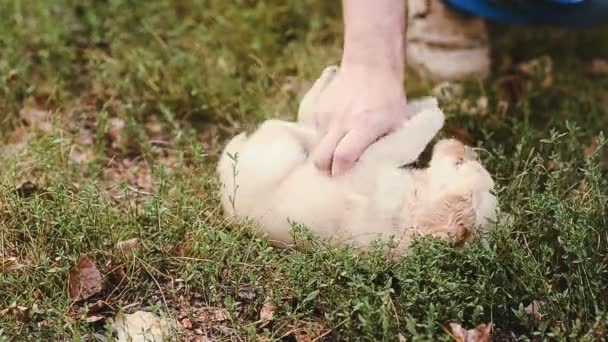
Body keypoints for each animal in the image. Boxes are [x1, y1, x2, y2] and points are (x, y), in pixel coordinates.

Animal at [216, 66, 496, 256]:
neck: (416, 198)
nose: (463, 146)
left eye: (459, 164)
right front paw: (424, 106)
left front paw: (432, 114)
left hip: (279, 153)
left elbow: (405, 139)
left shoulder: (374, 161)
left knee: (303, 129)